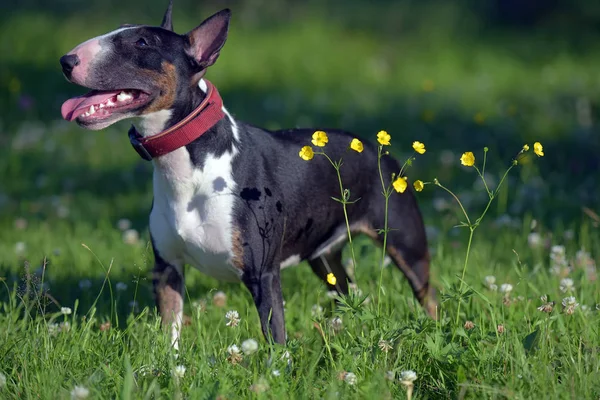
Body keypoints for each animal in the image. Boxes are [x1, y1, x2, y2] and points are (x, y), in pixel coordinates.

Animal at [59, 0, 436, 346]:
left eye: (142, 42)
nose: (66, 60)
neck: (188, 168)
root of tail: (375, 147)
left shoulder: (263, 274)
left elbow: (275, 337)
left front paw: (277, 371)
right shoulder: (167, 268)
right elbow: (171, 331)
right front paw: (167, 365)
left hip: (404, 241)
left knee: (427, 293)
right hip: (322, 254)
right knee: (345, 288)